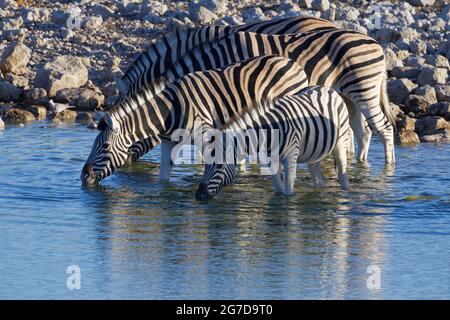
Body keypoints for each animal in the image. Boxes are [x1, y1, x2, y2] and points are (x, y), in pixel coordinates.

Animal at [81, 55, 310, 185]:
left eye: (105, 146)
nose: (84, 176)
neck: (168, 112)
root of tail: (293, 63)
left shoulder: (206, 137)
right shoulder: (168, 142)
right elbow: (163, 179)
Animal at [195, 85, 350, 200]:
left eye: (220, 166)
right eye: (206, 164)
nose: (199, 195)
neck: (270, 132)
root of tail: (325, 88)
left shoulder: (290, 158)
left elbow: (288, 192)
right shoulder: (271, 159)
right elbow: (278, 190)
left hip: (340, 143)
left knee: (343, 176)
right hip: (314, 153)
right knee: (319, 179)